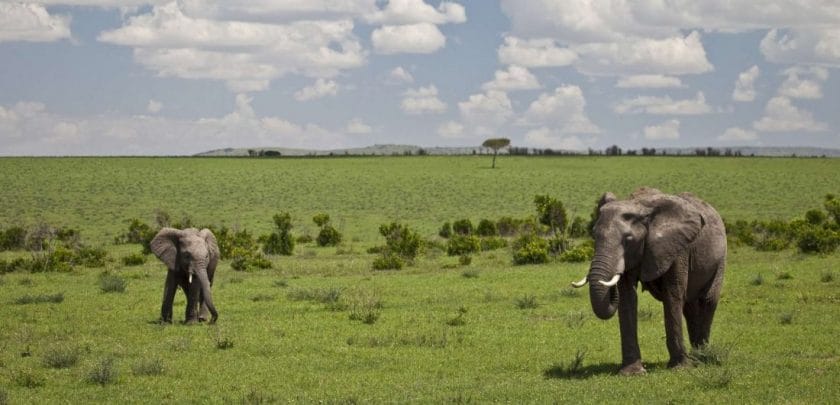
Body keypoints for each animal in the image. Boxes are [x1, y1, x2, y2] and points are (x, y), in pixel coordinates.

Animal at [572, 188, 728, 374]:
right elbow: (627, 297)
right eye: (594, 235)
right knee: (690, 307)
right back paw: (696, 356)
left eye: (629, 239)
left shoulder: (677, 248)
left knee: (707, 301)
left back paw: (702, 358)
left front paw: (680, 368)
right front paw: (632, 372)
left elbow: (673, 296)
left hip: (720, 259)